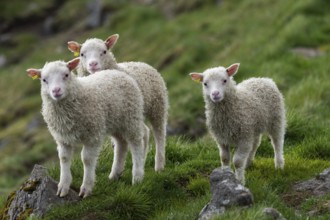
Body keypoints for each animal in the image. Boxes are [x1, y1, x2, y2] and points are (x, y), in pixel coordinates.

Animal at [26, 58, 148, 198]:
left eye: (66, 75)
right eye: (44, 80)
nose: (56, 91)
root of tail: (116, 72)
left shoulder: (92, 135)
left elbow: (87, 159)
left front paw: (86, 188)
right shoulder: (62, 138)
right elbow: (64, 158)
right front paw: (63, 186)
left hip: (131, 117)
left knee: (136, 143)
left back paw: (137, 176)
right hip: (115, 122)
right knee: (121, 145)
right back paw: (114, 175)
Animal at [68, 34, 169, 172]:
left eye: (104, 51)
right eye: (82, 54)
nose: (93, 64)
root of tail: (142, 63)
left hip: (157, 105)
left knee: (159, 133)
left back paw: (159, 165)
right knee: (145, 132)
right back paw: (142, 160)